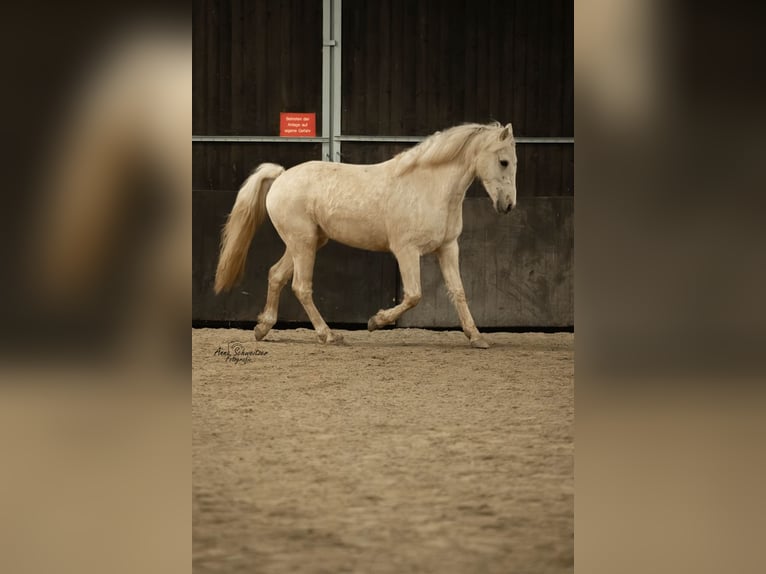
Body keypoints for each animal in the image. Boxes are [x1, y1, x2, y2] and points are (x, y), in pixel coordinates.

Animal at [213, 120, 520, 352]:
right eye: (504, 162)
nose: (508, 205)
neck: (428, 187)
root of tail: (281, 176)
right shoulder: (406, 251)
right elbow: (414, 295)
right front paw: (375, 321)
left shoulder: (447, 248)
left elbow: (458, 291)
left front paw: (476, 337)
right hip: (303, 244)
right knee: (301, 286)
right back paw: (328, 335)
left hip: (306, 242)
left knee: (276, 275)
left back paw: (262, 328)